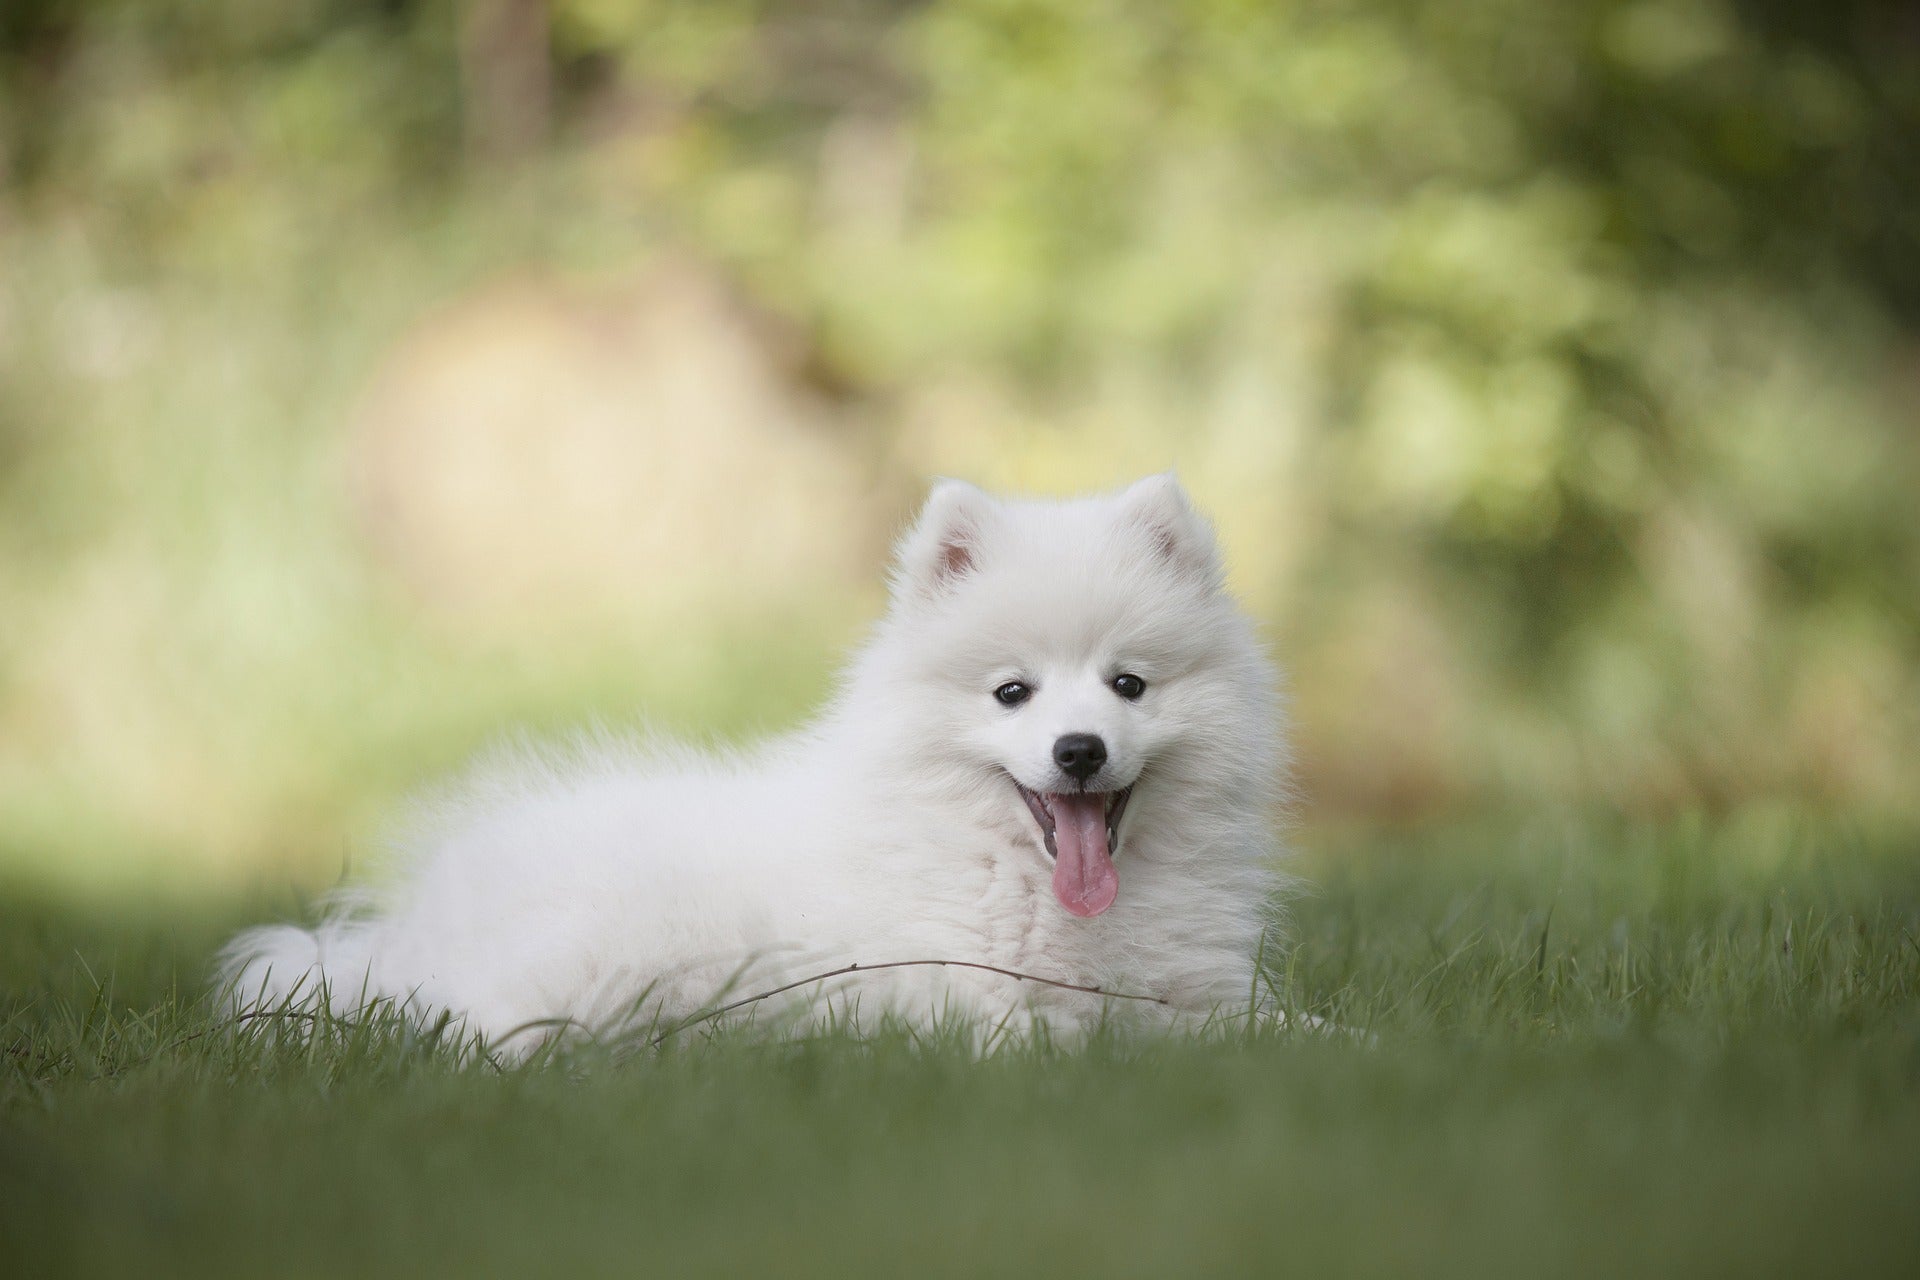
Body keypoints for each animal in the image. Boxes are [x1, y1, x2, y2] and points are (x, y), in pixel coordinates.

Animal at [217, 475, 1282, 1059]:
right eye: (1011, 693)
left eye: (1129, 685)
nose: (1079, 750)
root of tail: (405, 931)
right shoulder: (949, 990)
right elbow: (1046, 1033)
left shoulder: (1205, 989)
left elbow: (1272, 1027)